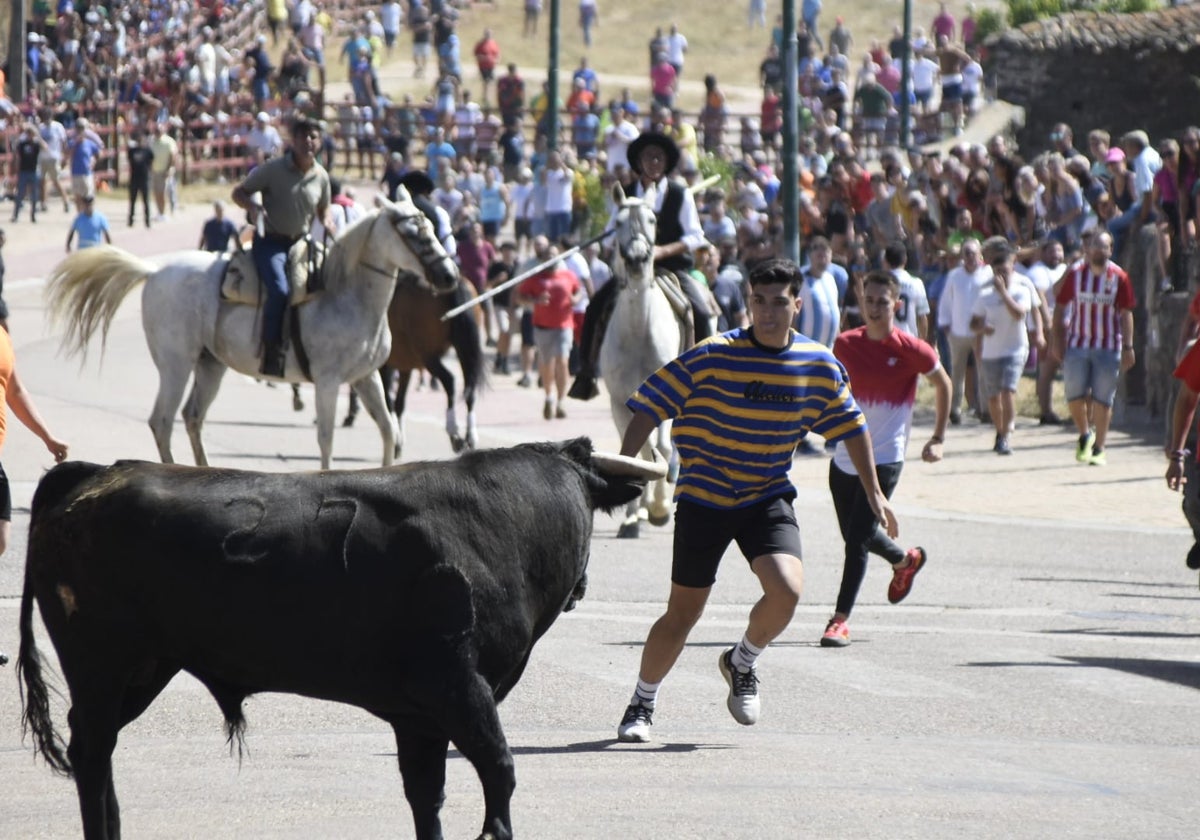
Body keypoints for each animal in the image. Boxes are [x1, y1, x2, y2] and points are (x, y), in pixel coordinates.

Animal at [16, 436, 657, 835]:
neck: (503, 520)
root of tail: (97, 474)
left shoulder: (419, 715)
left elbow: (427, 797)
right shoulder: (458, 686)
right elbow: (499, 771)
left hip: (144, 668)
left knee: (95, 750)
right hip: (101, 662)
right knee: (92, 751)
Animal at [46, 190, 458, 472]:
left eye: (429, 225)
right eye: (411, 233)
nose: (449, 276)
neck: (345, 293)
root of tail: (154, 271)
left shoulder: (365, 377)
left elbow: (388, 430)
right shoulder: (328, 382)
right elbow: (326, 439)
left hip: (209, 366)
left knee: (192, 417)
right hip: (175, 365)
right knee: (162, 421)